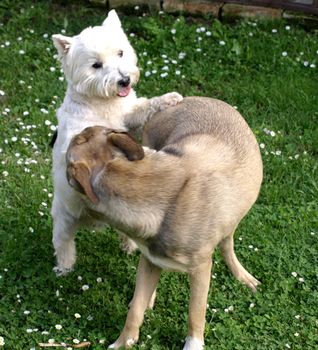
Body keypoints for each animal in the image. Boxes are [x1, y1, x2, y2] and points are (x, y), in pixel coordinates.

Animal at [51, 9, 183, 274]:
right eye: (96, 65)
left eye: (120, 53)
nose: (124, 80)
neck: (105, 103)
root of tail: (93, 220)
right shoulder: (79, 130)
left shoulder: (130, 116)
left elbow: (143, 108)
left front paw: (168, 99)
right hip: (64, 216)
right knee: (63, 242)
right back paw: (65, 268)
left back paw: (129, 246)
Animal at [66, 96, 262, 350]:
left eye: (79, 139)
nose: (58, 136)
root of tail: (190, 99)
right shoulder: (150, 259)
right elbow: (135, 310)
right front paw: (124, 341)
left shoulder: (201, 269)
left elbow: (195, 313)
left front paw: (193, 344)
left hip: (231, 221)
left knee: (227, 244)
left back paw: (242, 275)